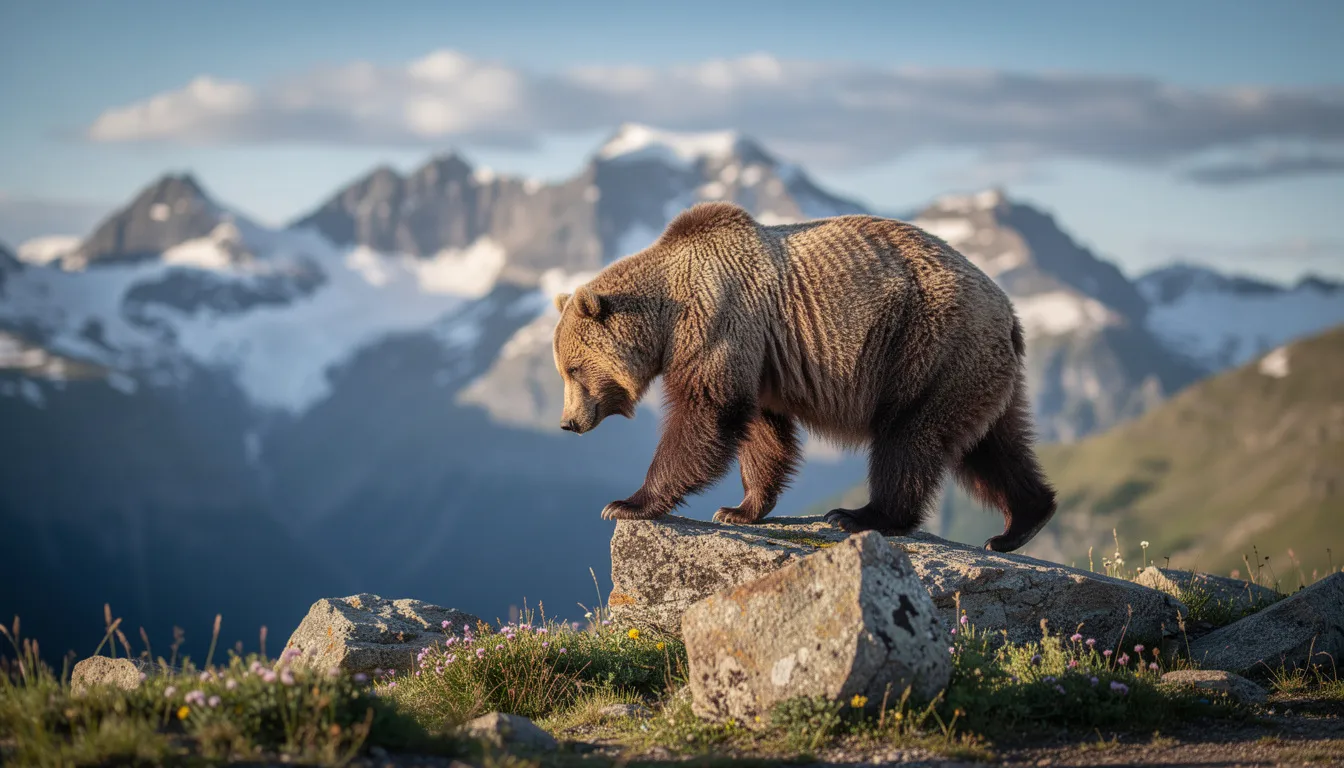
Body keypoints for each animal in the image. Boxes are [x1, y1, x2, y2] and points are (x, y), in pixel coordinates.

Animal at [551, 200, 1056, 552]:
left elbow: (707, 414)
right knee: (993, 446)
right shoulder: (762, 359)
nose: (568, 423)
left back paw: (861, 515)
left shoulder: (720, 323)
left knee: (910, 437)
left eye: (573, 369)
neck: (668, 317)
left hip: (927, 347)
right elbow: (763, 432)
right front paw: (739, 508)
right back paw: (1020, 523)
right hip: (979, 370)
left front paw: (626, 503)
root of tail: (1009, 312)